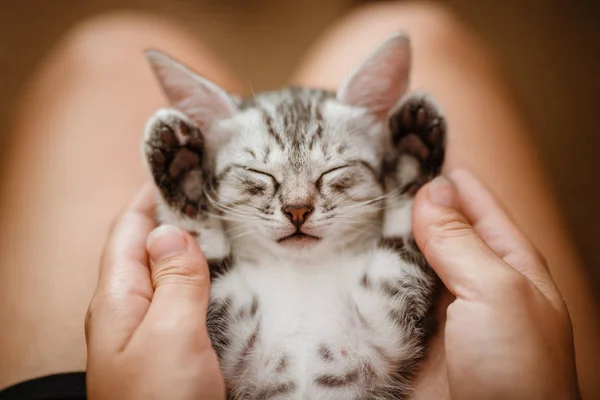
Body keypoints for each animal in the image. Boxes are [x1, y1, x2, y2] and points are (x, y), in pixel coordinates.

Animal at [142, 32, 446, 398]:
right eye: (258, 173)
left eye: (333, 170)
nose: (297, 209)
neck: (302, 273)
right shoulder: (234, 341)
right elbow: (204, 247)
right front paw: (183, 174)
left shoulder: (385, 329)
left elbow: (402, 240)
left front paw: (414, 152)